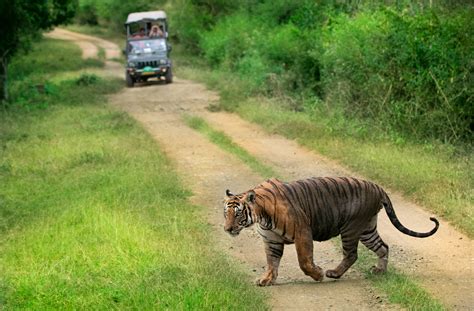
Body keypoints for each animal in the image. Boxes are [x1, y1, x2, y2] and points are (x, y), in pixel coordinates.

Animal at [224, 178, 438, 288]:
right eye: (225, 213)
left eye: (238, 214)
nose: (227, 229)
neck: (261, 215)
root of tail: (378, 187)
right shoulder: (271, 241)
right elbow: (271, 262)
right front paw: (267, 279)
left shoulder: (302, 231)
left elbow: (304, 261)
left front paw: (318, 274)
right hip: (367, 230)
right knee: (383, 247)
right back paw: (380, 271)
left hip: (351, 228)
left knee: (352, 254)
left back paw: (334, 273)